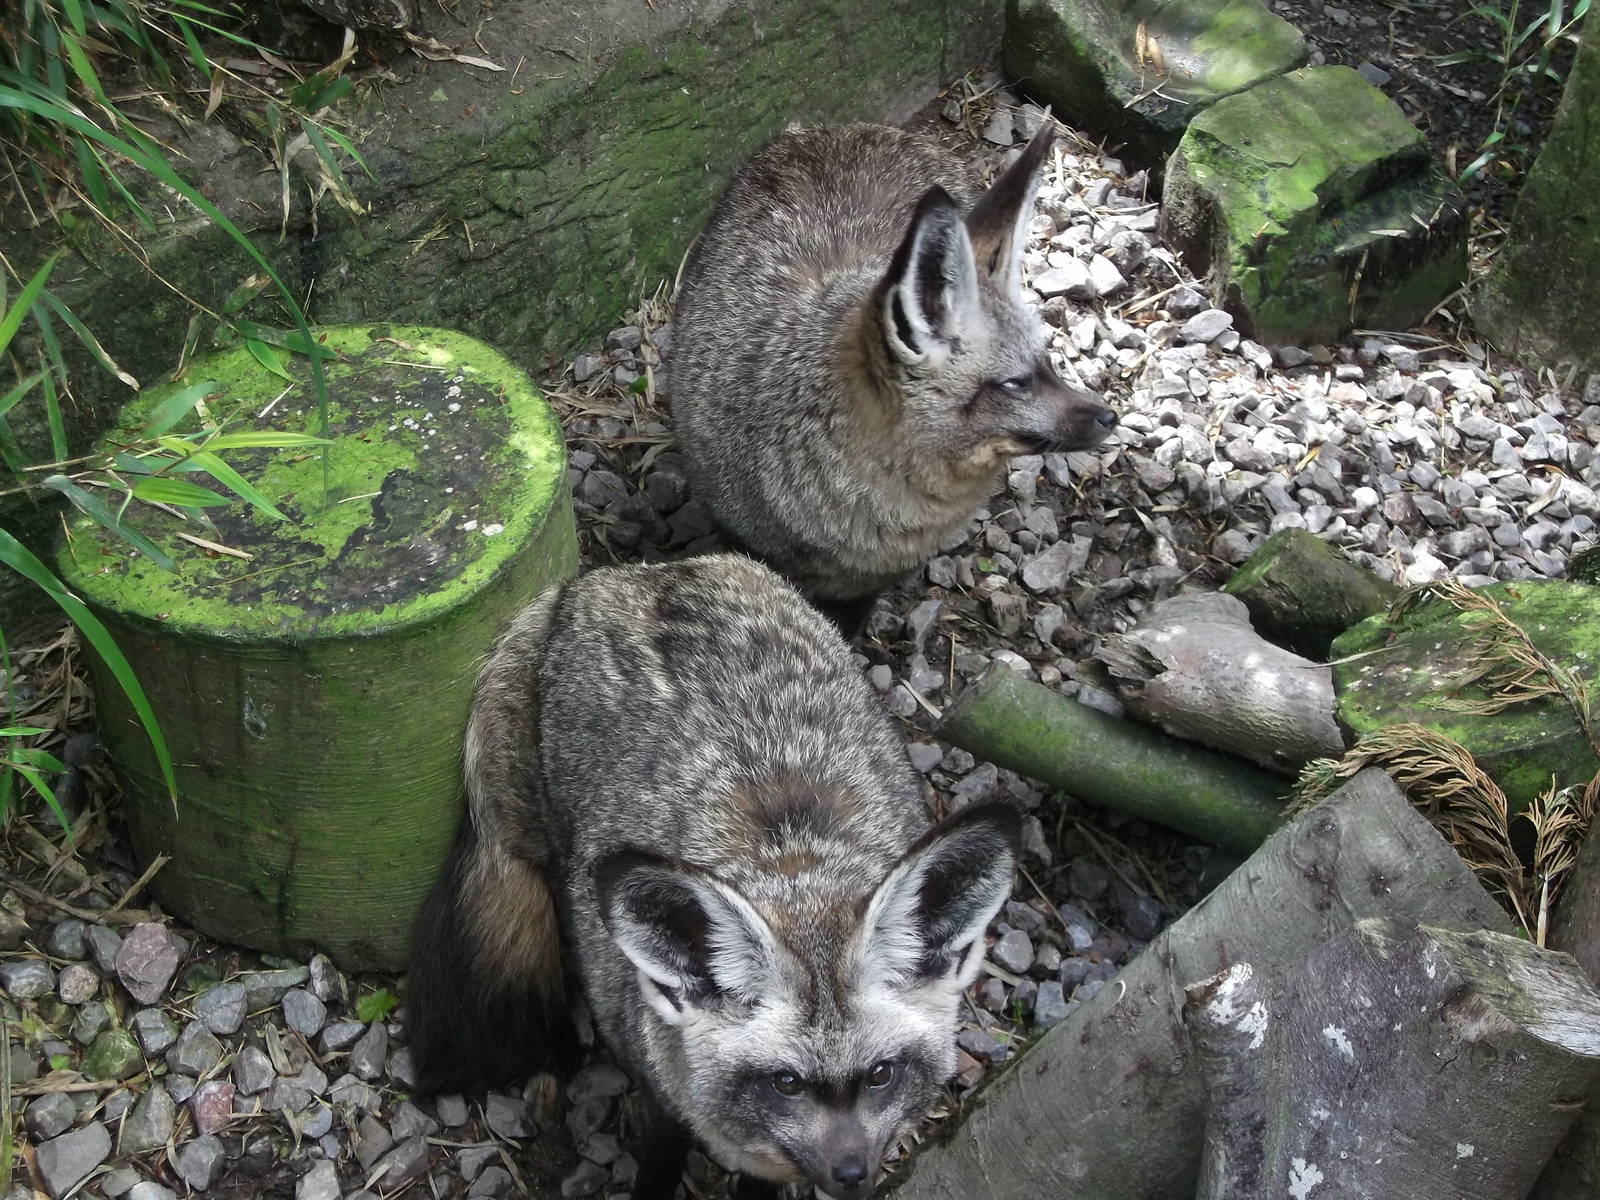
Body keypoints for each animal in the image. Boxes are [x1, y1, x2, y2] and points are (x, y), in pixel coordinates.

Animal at [406, 554, 1021, 1200]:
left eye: (881, 1074)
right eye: (786, 1083)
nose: (851, 1175)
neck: (793, 860)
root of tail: (636, 571)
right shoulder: (660, 1089)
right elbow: (660, 1158)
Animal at [671, 121, 1117, 633]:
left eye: (1048, 363)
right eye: (1015, 383)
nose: (1110, 417)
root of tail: (831, 127)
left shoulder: (868, 581)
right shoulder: (745, 538)